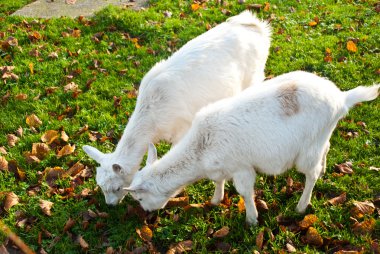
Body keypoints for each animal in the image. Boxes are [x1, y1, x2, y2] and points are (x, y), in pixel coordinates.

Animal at [82, 11, 270, 204]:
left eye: (117, 187)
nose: (110, 205)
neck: (154, 122)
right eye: (100, 186)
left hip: (254, 76)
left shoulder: (182, 129)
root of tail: (255, 24)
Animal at [125, 71, 380, 224]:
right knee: (325, 149)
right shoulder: (222, 166)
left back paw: (301, 206)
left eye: (139, 198)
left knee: (311, 175)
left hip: (307, 150)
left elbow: (245, 192)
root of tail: (342, 98)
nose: (147, 215)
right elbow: (218, 182)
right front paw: (216, 200)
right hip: (320, 138)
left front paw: (251, 219)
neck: (200, 149)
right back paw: (325, 167)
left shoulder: (242, 168)